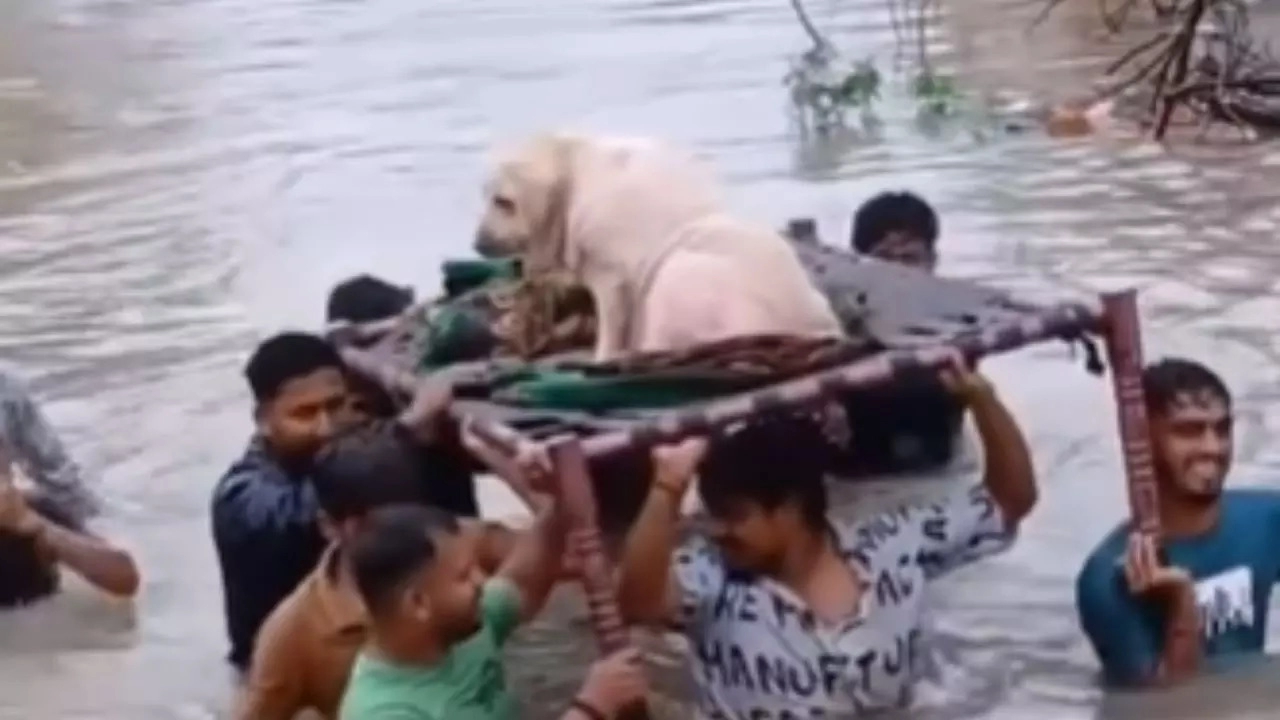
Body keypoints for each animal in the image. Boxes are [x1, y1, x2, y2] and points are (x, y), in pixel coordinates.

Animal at [471, 131, 839, 358]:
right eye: (484, 195)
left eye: (502, 201)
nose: (477, 242)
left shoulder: (609, 252)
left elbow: (613, 306)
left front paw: (603, 356)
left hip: (696, 278)